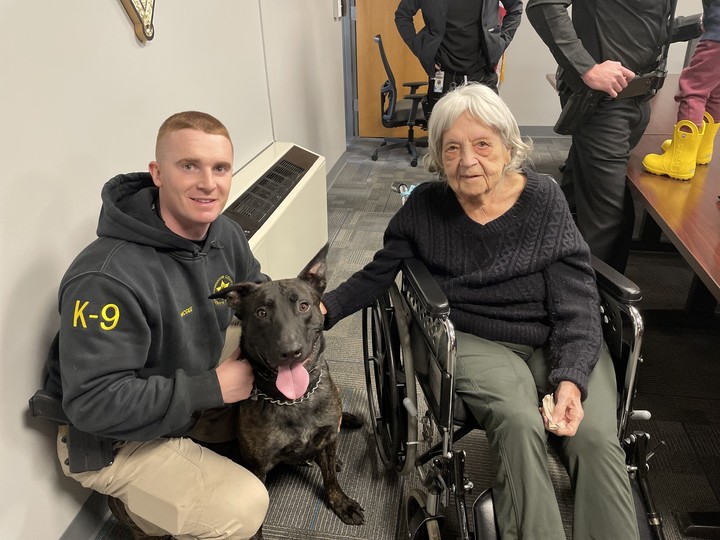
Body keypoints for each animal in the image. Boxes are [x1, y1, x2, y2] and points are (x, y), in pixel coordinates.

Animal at [211, 246, 362, 540]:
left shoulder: (328, 435)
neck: (295, 400)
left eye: (303, 306)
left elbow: (331, 477)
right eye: (261, 313)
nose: (290, 351)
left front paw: (341, 502)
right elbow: (257, 519)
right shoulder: (256, 469)